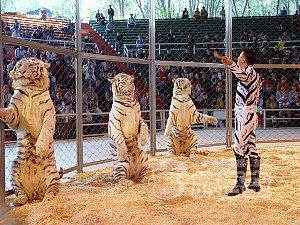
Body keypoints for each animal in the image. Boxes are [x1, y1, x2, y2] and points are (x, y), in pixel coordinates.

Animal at [0, 56, 62, 206]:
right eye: (19, 65)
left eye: (31, 65)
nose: (22, 71)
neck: (30, 87)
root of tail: (35, 192)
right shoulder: (15, 112)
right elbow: (8, 112)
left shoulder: (49, 113)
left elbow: (46, 130)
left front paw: (41, 148)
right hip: (14, 167)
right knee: (20, 192)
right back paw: (19, 200)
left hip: (52, 172)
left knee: (53, 189)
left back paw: (47, 199)